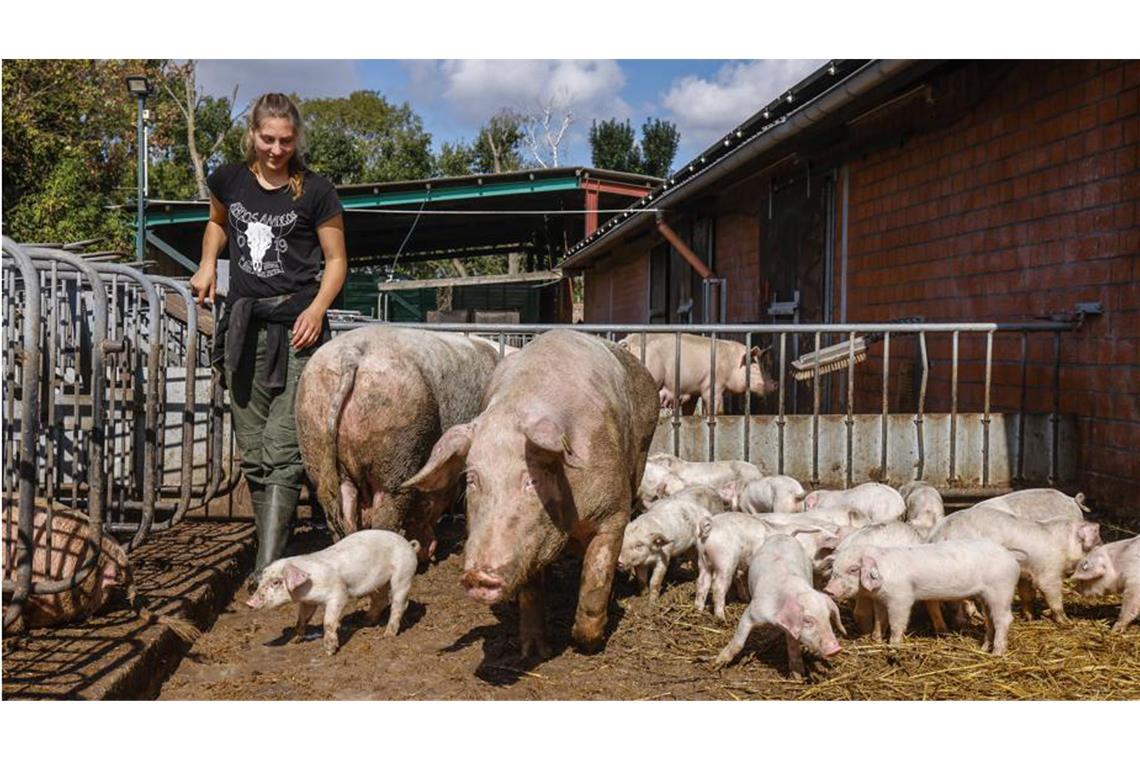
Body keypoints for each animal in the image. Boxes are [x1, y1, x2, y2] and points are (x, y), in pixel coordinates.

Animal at [245, 526, 419, 656]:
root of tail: (409, 544)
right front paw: (294, 641)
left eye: (276, 582)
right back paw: (364, 621)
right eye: (262, 580)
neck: (308, 587)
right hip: (379, 583)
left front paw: (330, 651)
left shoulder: (338, 594)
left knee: (399, 603)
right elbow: (301, 620)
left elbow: (328, 621)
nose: (249, 602)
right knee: (381, 600)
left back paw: (387, 635)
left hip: (404, 573)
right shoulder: (308, 602)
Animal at [711, 535, 848, 679]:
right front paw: (717, 664)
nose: (836, 649)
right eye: (807, 621)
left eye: (828, 618)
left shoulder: (792, 628)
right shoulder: (751, 613)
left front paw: (798, 676)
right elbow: (739, 641)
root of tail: (784, 536)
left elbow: (793, 649)